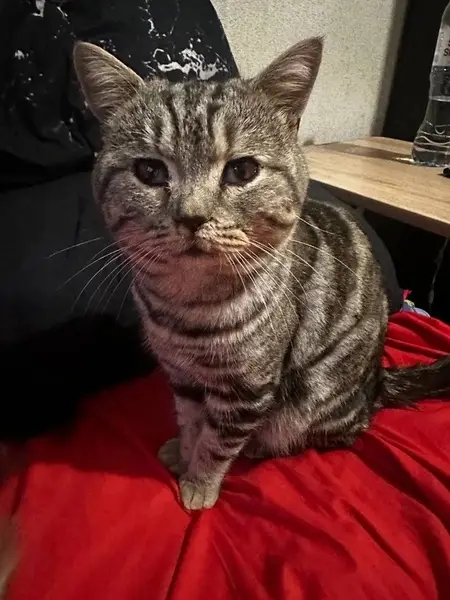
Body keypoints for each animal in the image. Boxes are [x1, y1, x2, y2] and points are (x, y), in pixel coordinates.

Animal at [73, 37, 450, 511]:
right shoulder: (182, 375)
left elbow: (217, 442)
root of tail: (377, 384)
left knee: (330, 433)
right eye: (149, 171)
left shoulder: (247, 389)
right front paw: (183, 452)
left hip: (313, 398)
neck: (186, 306)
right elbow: (190, 422)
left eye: (242, 170)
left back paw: (260, 445)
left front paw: (199, 483)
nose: (192, 217)